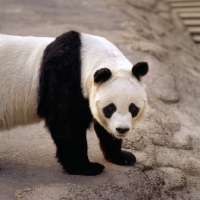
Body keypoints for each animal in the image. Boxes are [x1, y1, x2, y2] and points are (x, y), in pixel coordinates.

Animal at [0, 30, 148, 176]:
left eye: (133, 108)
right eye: (110, 108)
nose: (122, 129)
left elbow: (103, 127)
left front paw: (122, 157)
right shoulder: (62, 77)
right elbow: (67, 123)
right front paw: (87, 167)